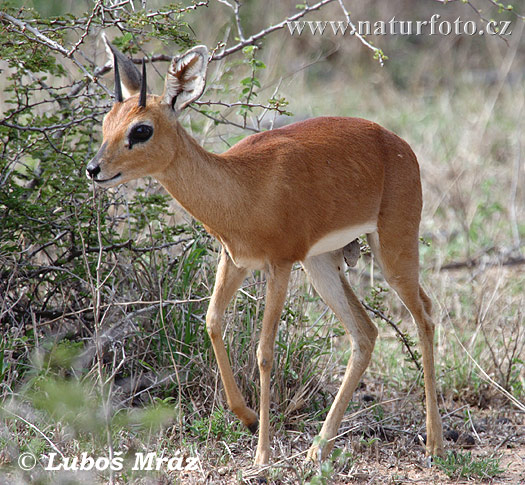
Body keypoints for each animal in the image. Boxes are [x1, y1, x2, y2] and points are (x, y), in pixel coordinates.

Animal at [87, 42, 442, 466]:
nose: (94, 169)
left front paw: (262, 453)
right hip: (320, 265)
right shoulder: (234, 261)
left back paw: (435, 443)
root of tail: (397, 144)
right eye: (107, 121)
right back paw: (318, 449)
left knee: (424, 316)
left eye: (141, 129)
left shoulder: (280, 265)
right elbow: (212, 322)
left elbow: (264, 352)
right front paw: (247, 416)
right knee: (366, 332)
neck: (242, 187)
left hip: (392, 251)